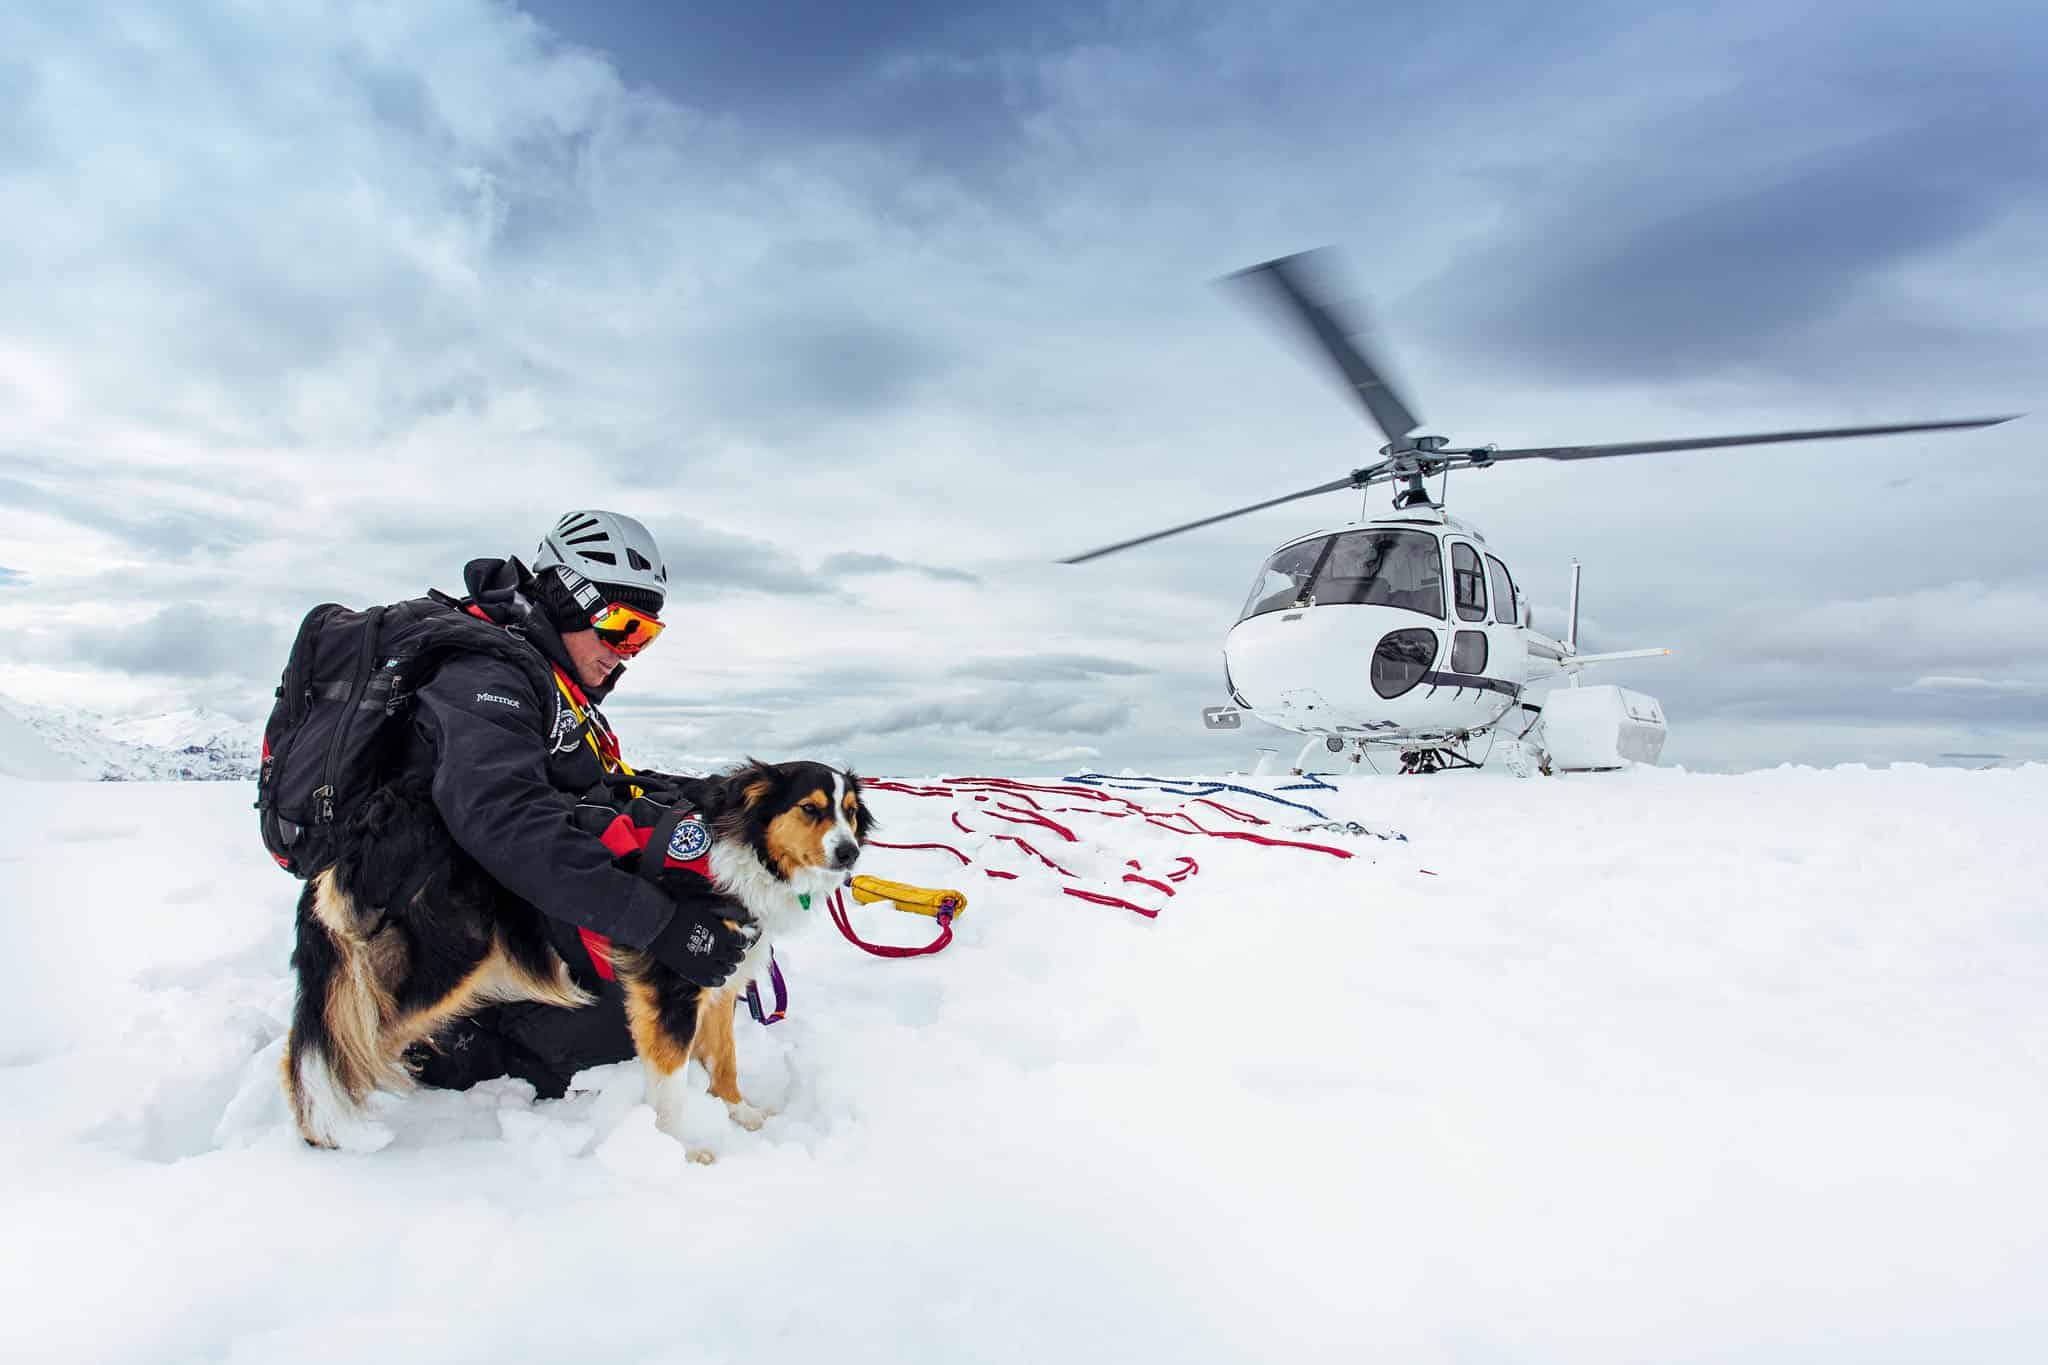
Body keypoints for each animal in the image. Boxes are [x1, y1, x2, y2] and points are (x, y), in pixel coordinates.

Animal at [282, 757, 872, 1154]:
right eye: (810, 809)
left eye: (849, 813)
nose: (849, 854)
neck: (741, 848)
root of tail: (371, 825)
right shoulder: (670, 987)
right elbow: (671, 1087)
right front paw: (679, 1148)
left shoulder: (720, 980)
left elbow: (724, 1060)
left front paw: (737, 1112)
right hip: (437, 966)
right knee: (341, 1043)